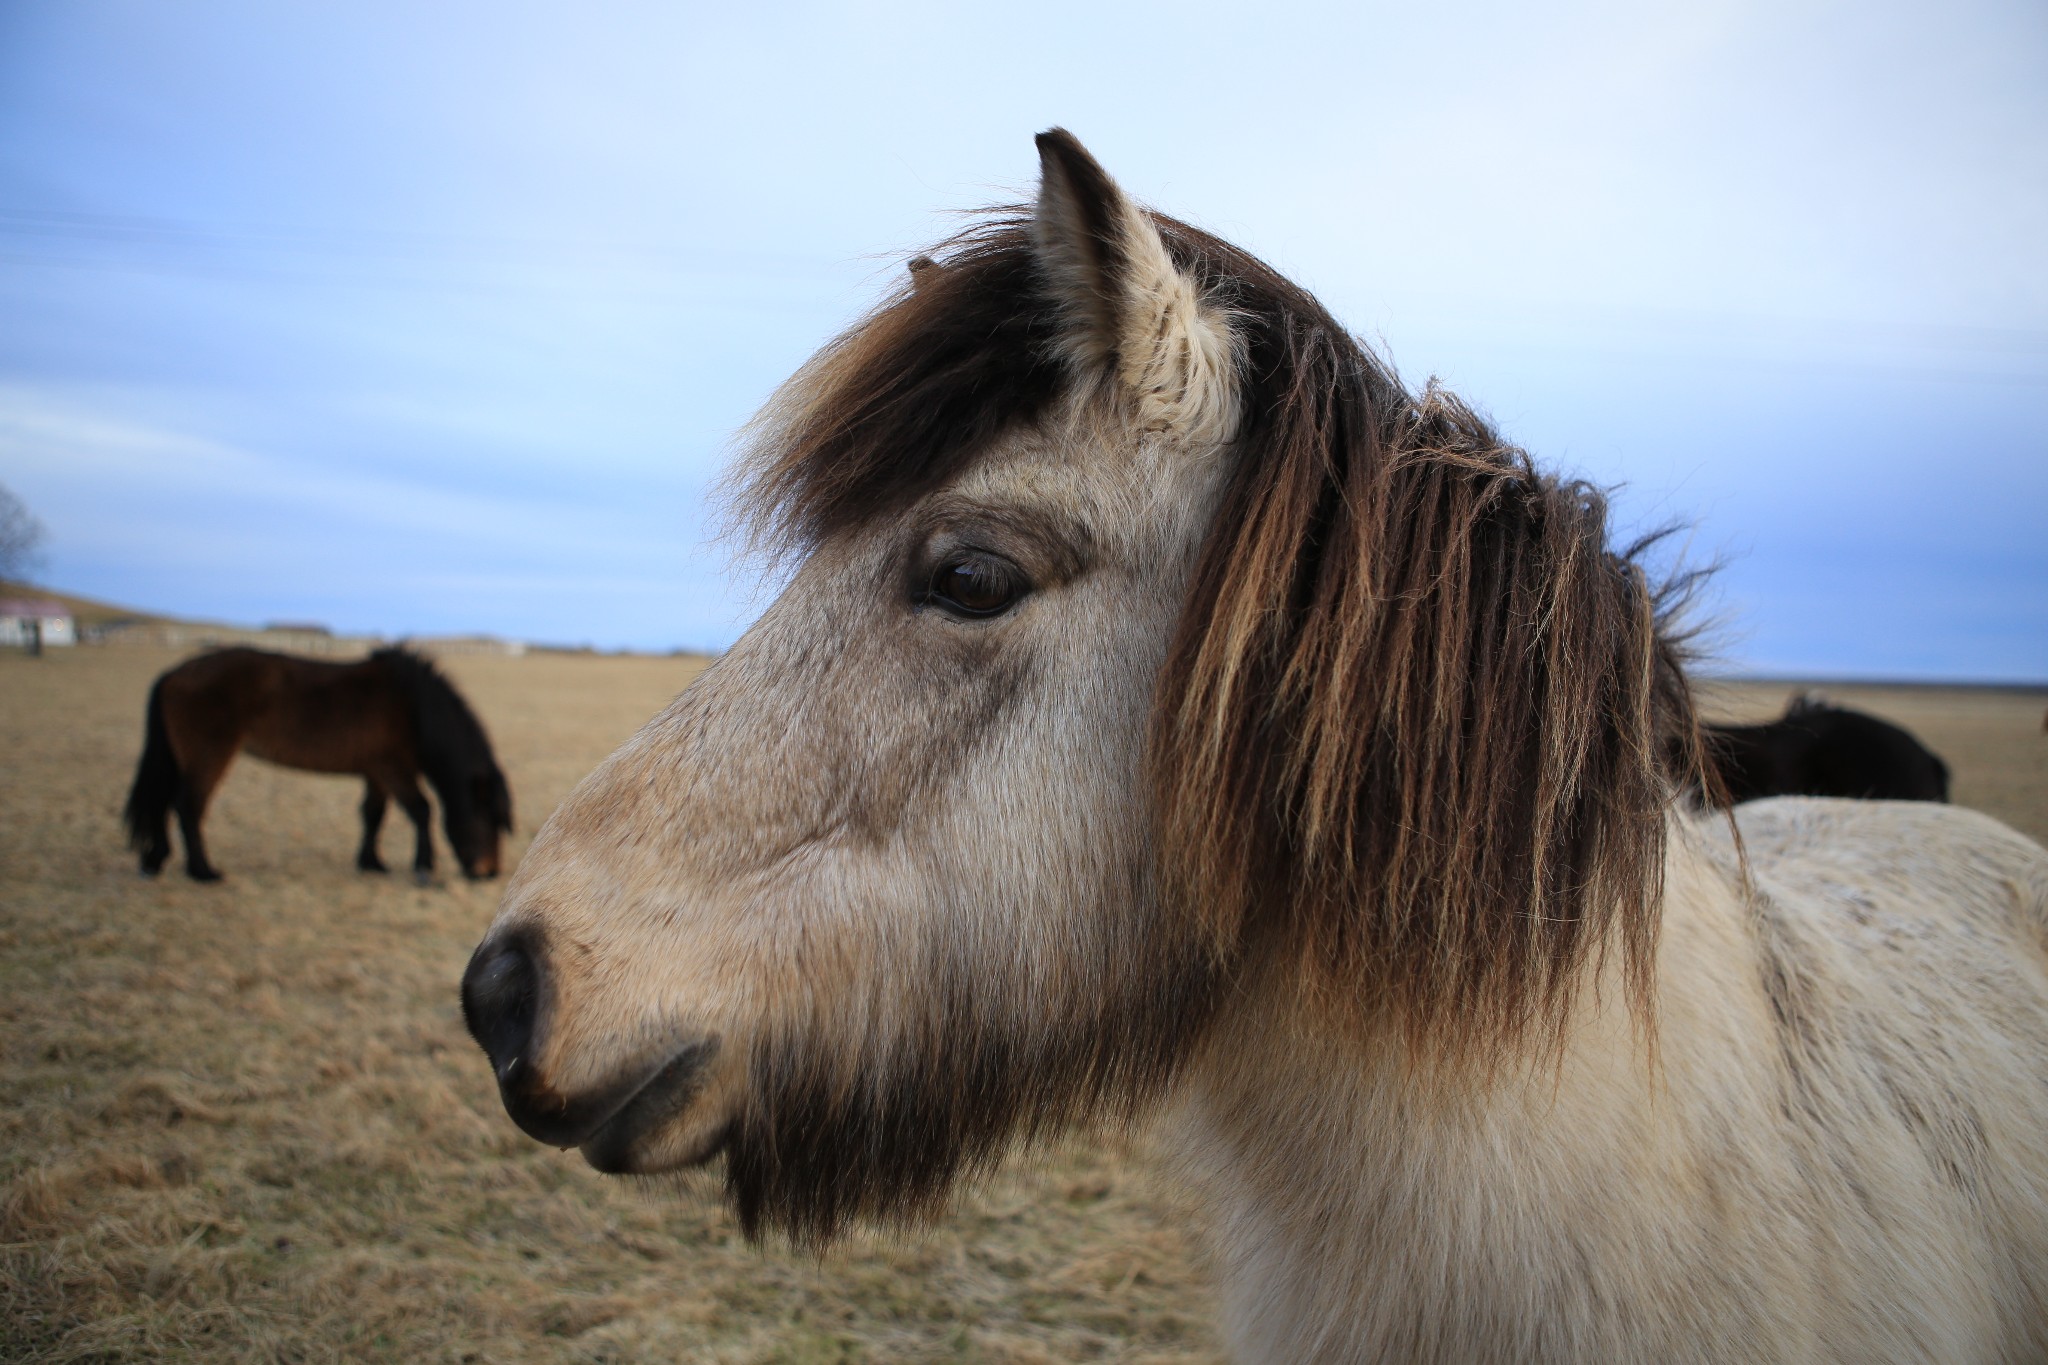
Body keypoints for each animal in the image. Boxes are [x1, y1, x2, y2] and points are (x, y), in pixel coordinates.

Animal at [124, 650, 512, 888]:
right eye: (488, 819)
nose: (489, 872)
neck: (414, 707)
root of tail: (173, 674)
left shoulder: (375, 772)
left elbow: (373, 814)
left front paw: (372, 862)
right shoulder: (393, 767)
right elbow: (421, 810)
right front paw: (424, 868)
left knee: (163, 805)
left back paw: (153, 862)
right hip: (209, 754)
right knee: (188, 805)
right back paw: (203, 871)